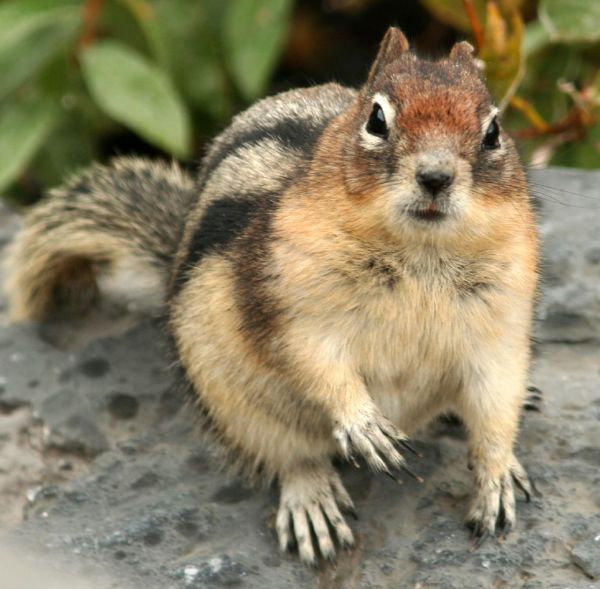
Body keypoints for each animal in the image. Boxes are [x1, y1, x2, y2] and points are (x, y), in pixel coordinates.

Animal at [4, 27, 540, 564]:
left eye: (493, 130)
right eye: (377, 119)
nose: (435, 176)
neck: (421, 257)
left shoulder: (501, 328)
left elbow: (496, 403)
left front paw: (496, 476)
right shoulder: (288, 306)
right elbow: (315, 364)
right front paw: (363, 425)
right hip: (240, 407)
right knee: (289, 458)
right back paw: (312, 505)